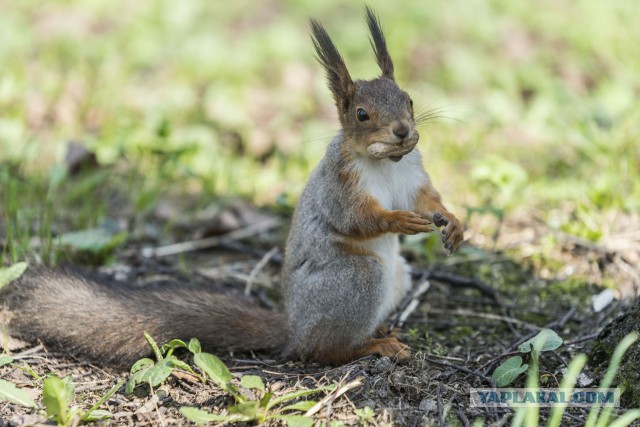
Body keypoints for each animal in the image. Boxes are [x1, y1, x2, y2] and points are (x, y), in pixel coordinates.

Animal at [0, 6, 462, 368]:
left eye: (409, 100)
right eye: (362, 114)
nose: (403, 131)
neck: (384, 163)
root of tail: (292, 328)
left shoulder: (412, 174)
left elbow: (427, 198)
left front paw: (453, 222)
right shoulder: (340, 183)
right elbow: (358, 218)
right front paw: (399, 221)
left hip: (397, 278)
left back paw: (380, 331)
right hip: (355, 281)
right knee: (321, 351)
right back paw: (370, 346)